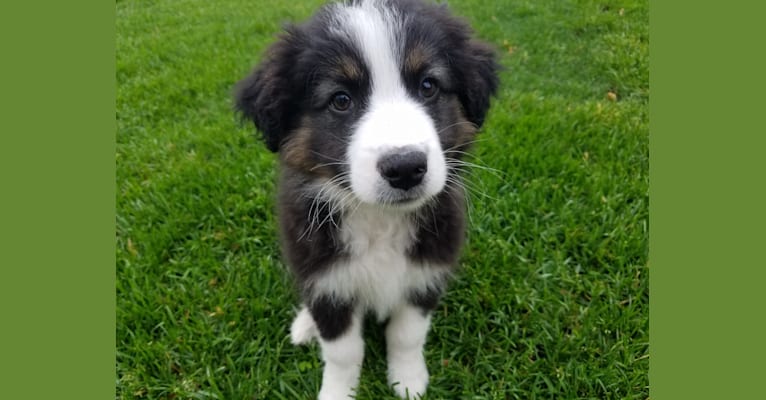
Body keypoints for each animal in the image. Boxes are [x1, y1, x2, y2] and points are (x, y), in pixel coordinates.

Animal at [234, 1, 498, 398]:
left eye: (428, 86)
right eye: (341, 100)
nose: (405, 168)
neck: (379, 219)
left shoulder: (425, 272)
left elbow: (407, 334)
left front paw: (408, 381)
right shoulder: (328, 281)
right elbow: (343, 352)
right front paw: (336, 392)